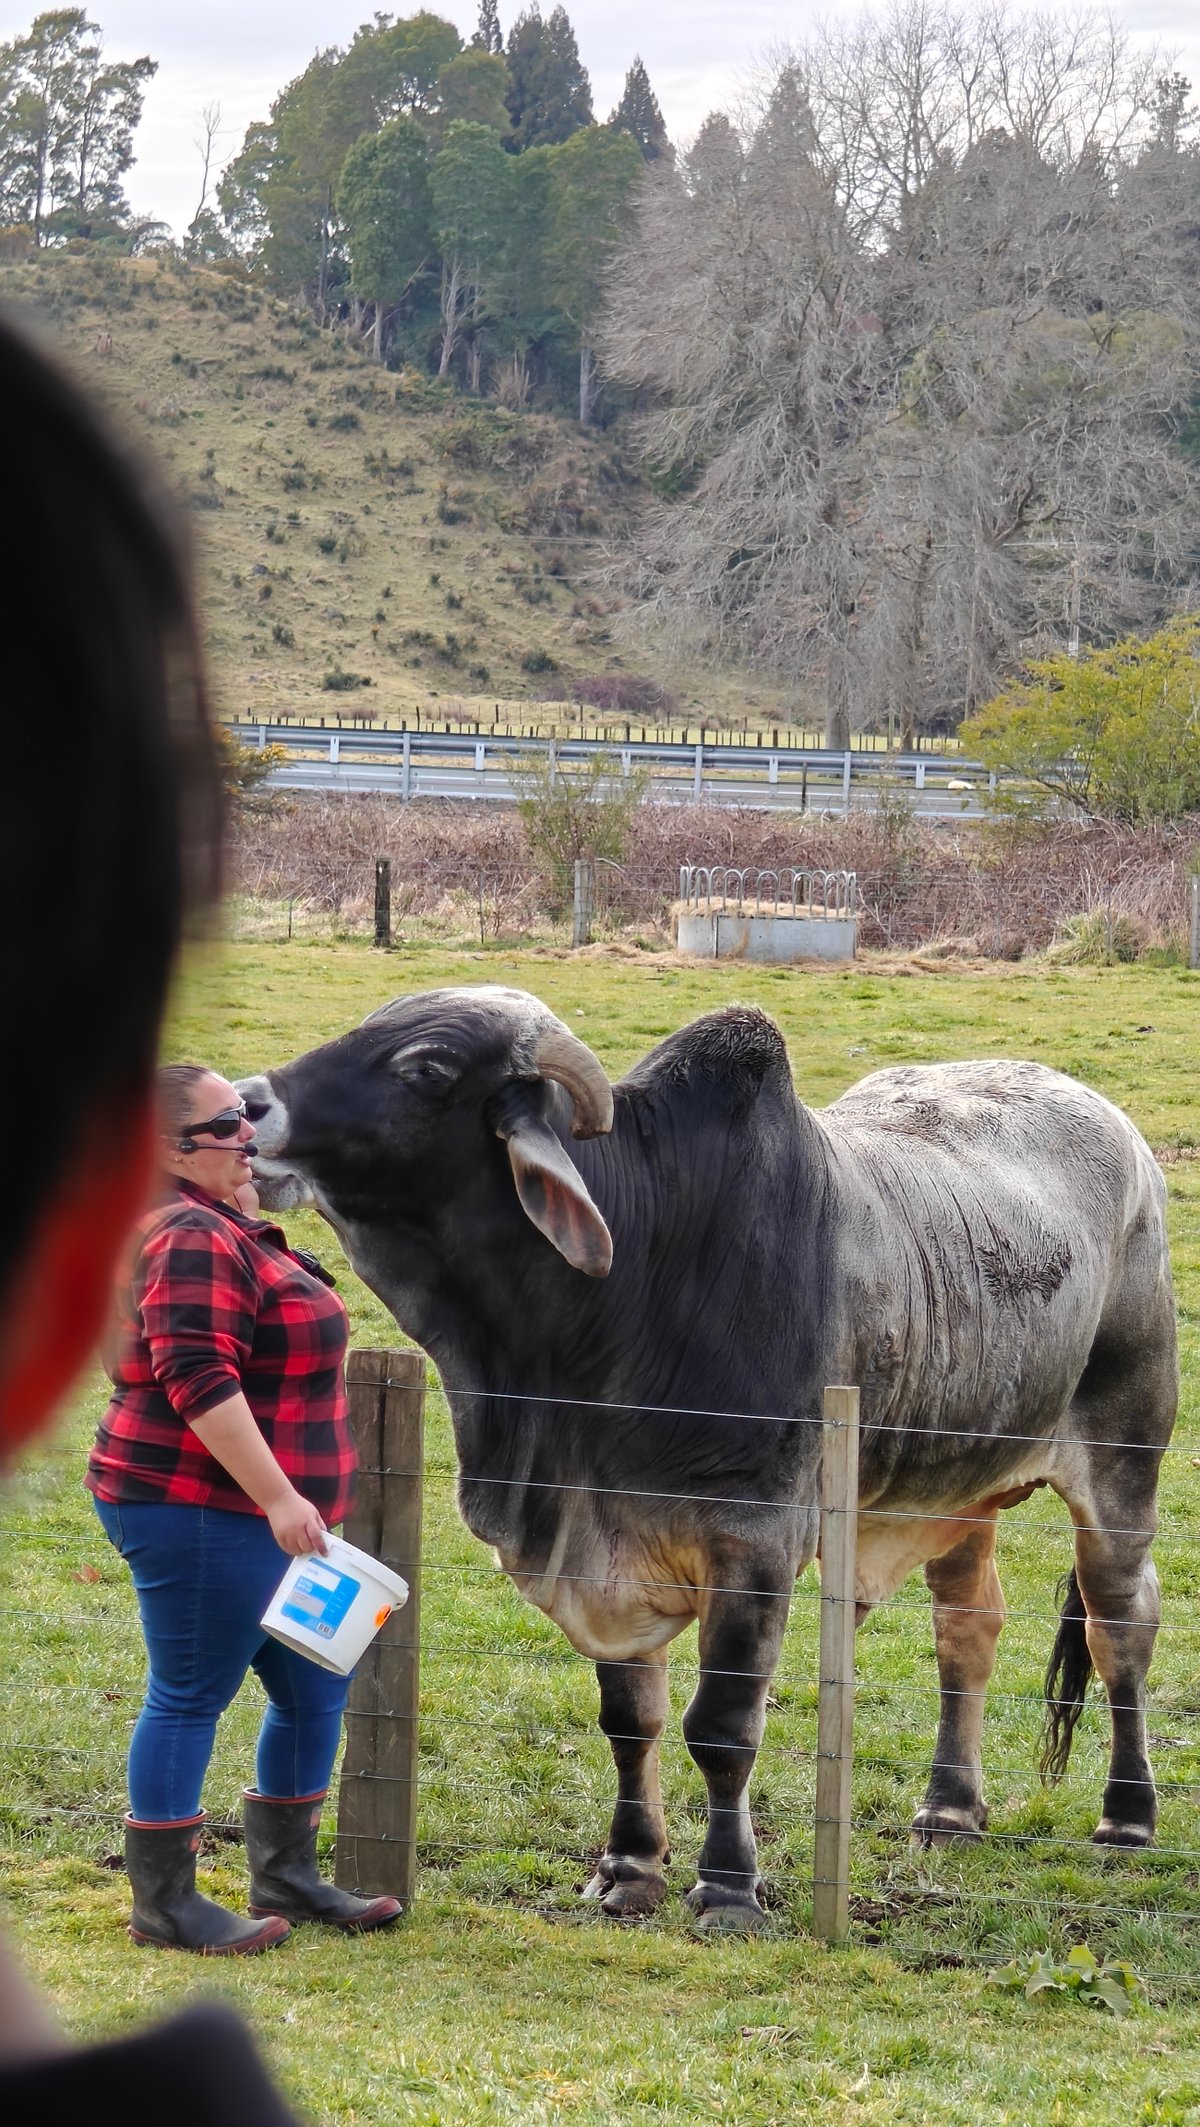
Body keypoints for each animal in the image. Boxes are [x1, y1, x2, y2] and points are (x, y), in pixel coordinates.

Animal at [238, 985, 1177, 1932]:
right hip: (955, 1488)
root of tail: (1122, 1134)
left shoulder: (753, 1546)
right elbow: (631, 1720)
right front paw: (628, 1867)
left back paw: (1127, 1817)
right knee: (968, 1628)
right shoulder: (607, 1544)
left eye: (425, 1066)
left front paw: (728, 1887)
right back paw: (949, 1809)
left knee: (1121, 1624)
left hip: (1122, 1467)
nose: (246, 1102)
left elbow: (720, 1727)